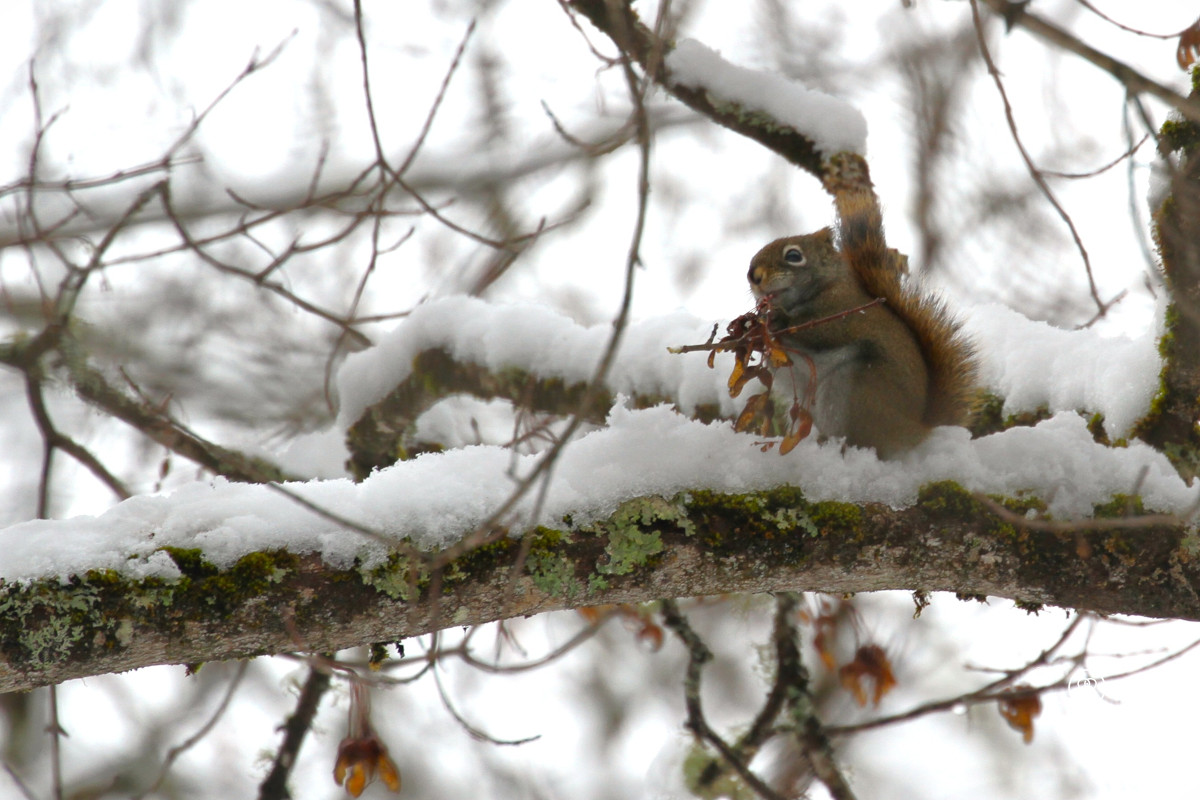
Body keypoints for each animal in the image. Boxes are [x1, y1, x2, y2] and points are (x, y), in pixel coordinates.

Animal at [746, 191, 976, 458]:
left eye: (794, 256)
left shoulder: (842, 311)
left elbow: (819, 330)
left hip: (856, 390)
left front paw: (776, 319)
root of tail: (916, 429)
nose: (753, 275)